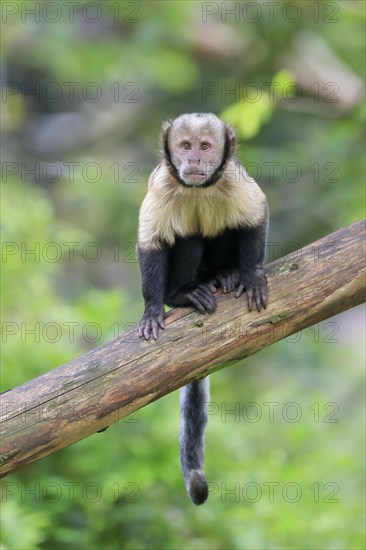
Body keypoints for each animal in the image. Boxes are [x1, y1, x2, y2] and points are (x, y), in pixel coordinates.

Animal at [137, 113, 268, 508]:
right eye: (185, 146)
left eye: (205, 147)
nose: (194, 159)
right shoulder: (162, 184)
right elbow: (151, 242)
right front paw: (152, 310)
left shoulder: (235, 179)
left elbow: (255, 217)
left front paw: (251, 276)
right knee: (189, 235)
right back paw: (183, 294)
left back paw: (226, 275)